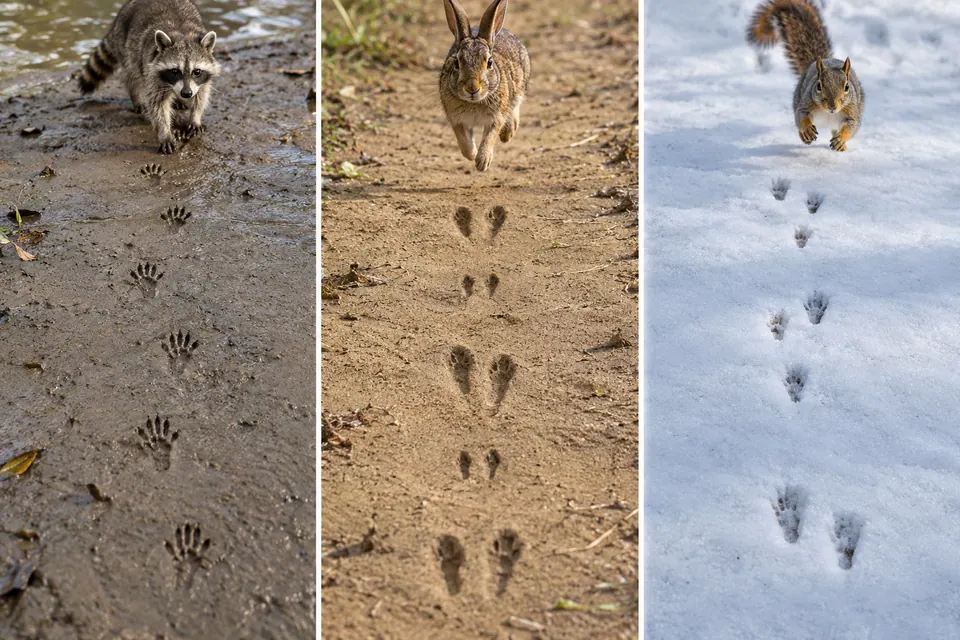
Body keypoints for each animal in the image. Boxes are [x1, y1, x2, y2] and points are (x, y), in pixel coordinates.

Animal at [440, 0, 530, 172]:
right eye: (456, 62)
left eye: (489, 62)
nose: (472, 88)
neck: (475, 102)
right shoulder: (455, 118)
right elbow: (463, 140)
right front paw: (473, 155)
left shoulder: (496, 117)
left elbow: (490, 136)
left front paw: (482, 162)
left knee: (515, 104)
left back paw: (508, 133)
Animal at [747, 0, 864, 152]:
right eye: (818, 85)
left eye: (847, 87)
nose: (832, 106)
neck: (828, 113)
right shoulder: (806, 103)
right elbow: (801, 116)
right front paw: (807, 130)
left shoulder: (852, 112)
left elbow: (852, 127)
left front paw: (841, 140)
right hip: (798, 97)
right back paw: (804, 136)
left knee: (835, 130)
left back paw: (840, 145)